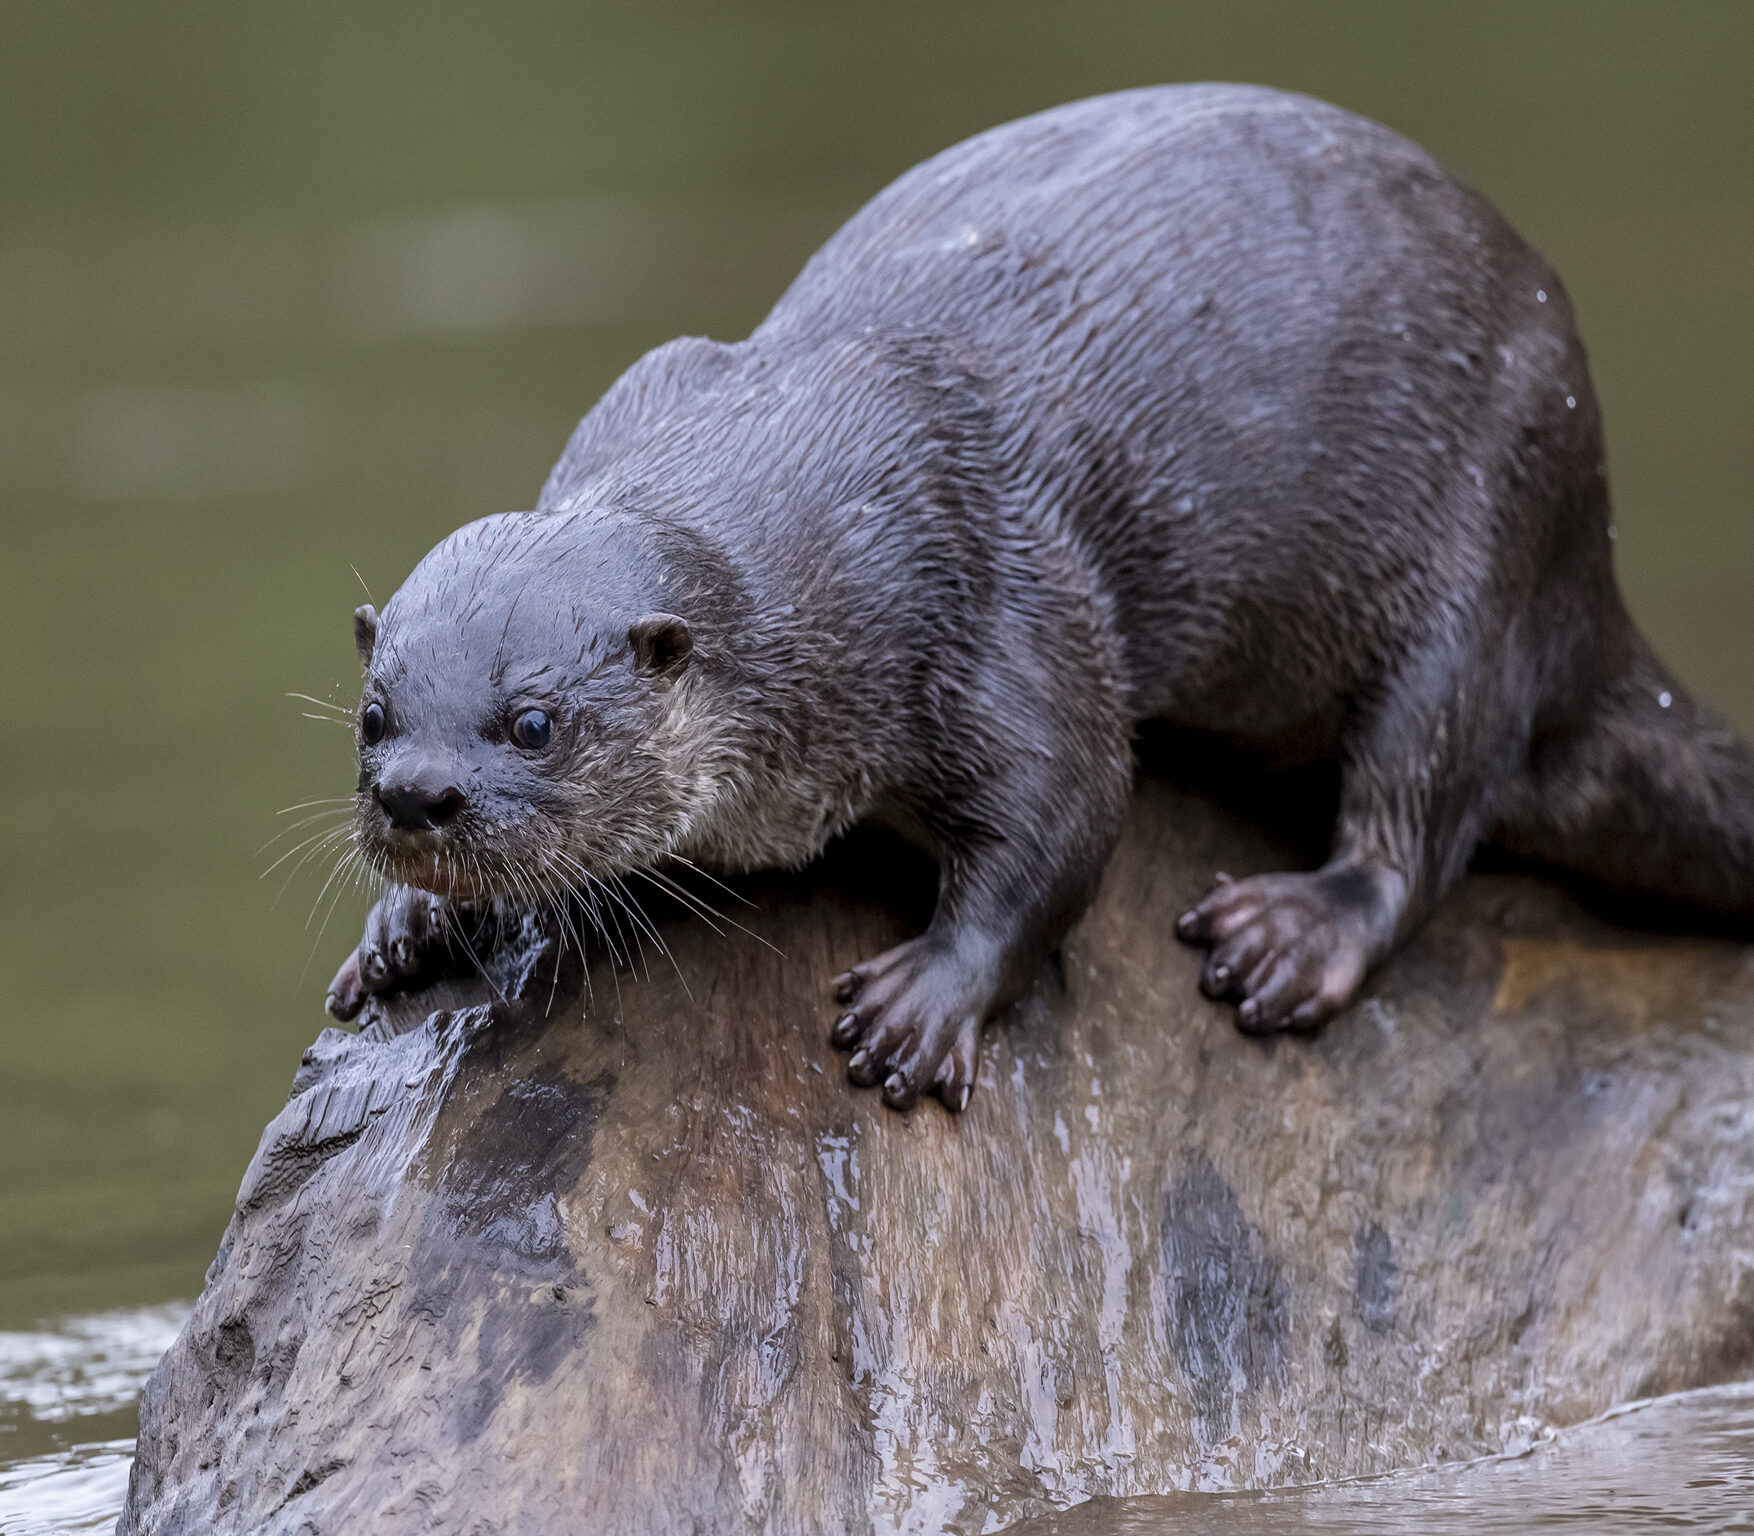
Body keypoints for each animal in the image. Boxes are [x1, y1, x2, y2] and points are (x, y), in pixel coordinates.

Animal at [322, 84, 1754, 1108]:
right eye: (374, 717)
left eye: (533, 725)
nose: (415, 799)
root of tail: (1592, 555)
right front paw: (407, 923)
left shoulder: (980, 580)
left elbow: (1067, 809)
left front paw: (926, 1003)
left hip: (1495, 535)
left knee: (1424, 793)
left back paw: (1294, 930)